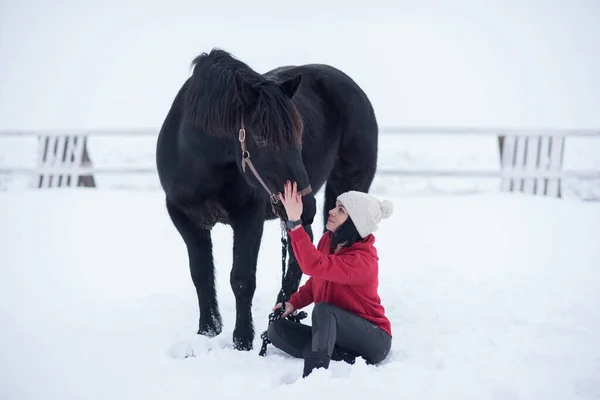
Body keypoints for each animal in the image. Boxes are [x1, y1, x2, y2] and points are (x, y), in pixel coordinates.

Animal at [156, 48, 380, 352]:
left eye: (298, 134)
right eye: (261, 140)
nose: (305, 207)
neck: (198, 160)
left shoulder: (249, 217)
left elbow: (241, 278)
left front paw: (242, 341)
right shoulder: (185, 218)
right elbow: (201, 275)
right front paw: (208, 331)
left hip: (345, 185)